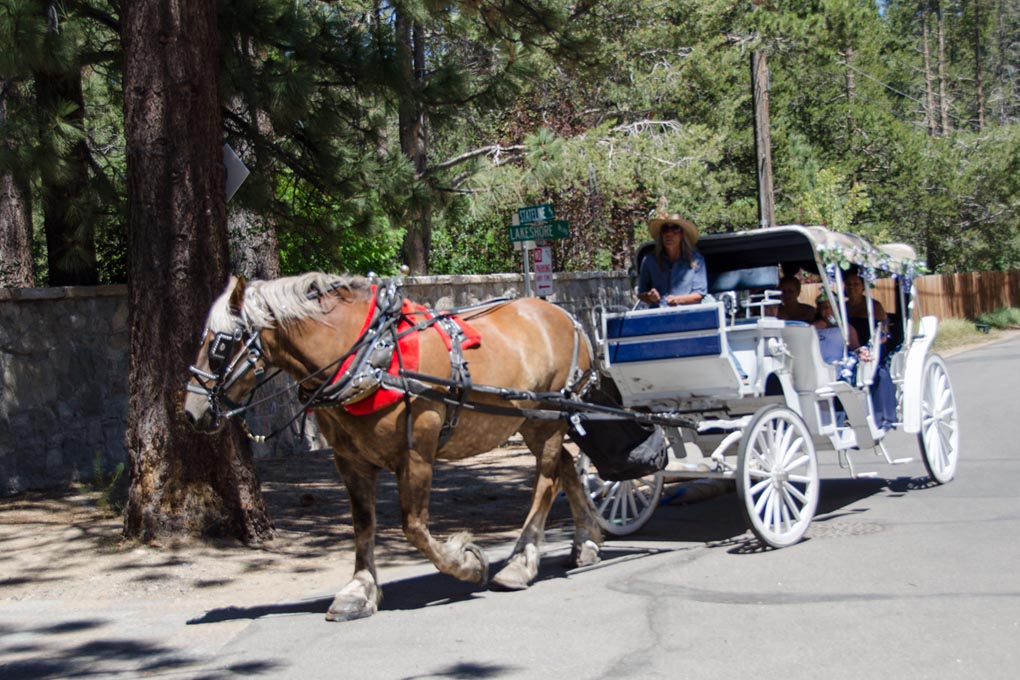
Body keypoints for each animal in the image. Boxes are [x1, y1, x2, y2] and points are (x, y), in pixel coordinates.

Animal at [183, 273, 604, 621]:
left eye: (220, 345)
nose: (191, 411)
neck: (369, 357)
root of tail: (565, 315)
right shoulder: (349, 461)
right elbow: (363, 524)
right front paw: (359, 591)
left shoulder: (416, 455)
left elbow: (414, 527)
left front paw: (467, 563)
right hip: (536, 424)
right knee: (567, 466)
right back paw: (585, 541)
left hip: (546, 419)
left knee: (546, 482)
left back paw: (520, 562)